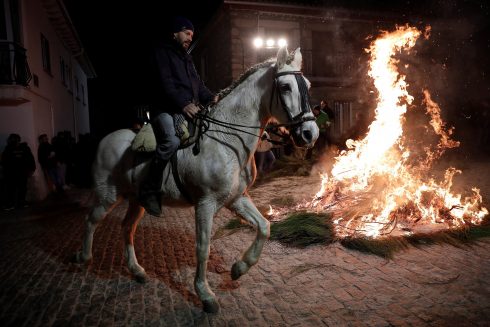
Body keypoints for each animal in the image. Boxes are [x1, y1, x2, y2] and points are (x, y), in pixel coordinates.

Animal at [72, 46, 318, 316]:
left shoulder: (236, 199)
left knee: (127, 228)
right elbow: (202, 248)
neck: (226, 139)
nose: (310, 133)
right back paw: (83, 257)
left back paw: (136, 270)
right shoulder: (205, 204)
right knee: (91, 219)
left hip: (137, 200)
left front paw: (239, 268)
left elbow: (264, 227)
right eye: (285, 87)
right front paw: (205, 295)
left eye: (307, 84)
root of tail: (106, 140)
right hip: (108, 196)